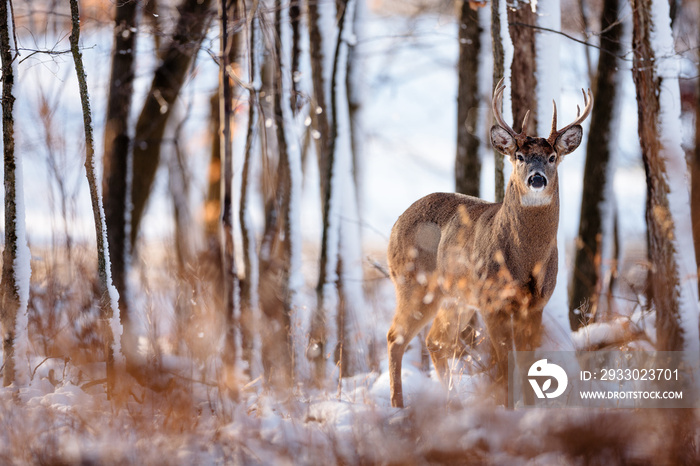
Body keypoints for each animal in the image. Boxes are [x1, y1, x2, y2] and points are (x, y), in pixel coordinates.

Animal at [386, 79, 592, 408]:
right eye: (519, 157)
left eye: (552, 158)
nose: (537, 179)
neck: (525, 263)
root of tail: (396, 223)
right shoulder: (491, 301)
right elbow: (505, 362)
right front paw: (507, 409)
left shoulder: (536, 304)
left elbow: (528, 362)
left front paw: (531, 410)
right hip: (414, 284)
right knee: (396, 337)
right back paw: (398, 405)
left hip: (455, 298)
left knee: (435, 340)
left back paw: (453, 401)